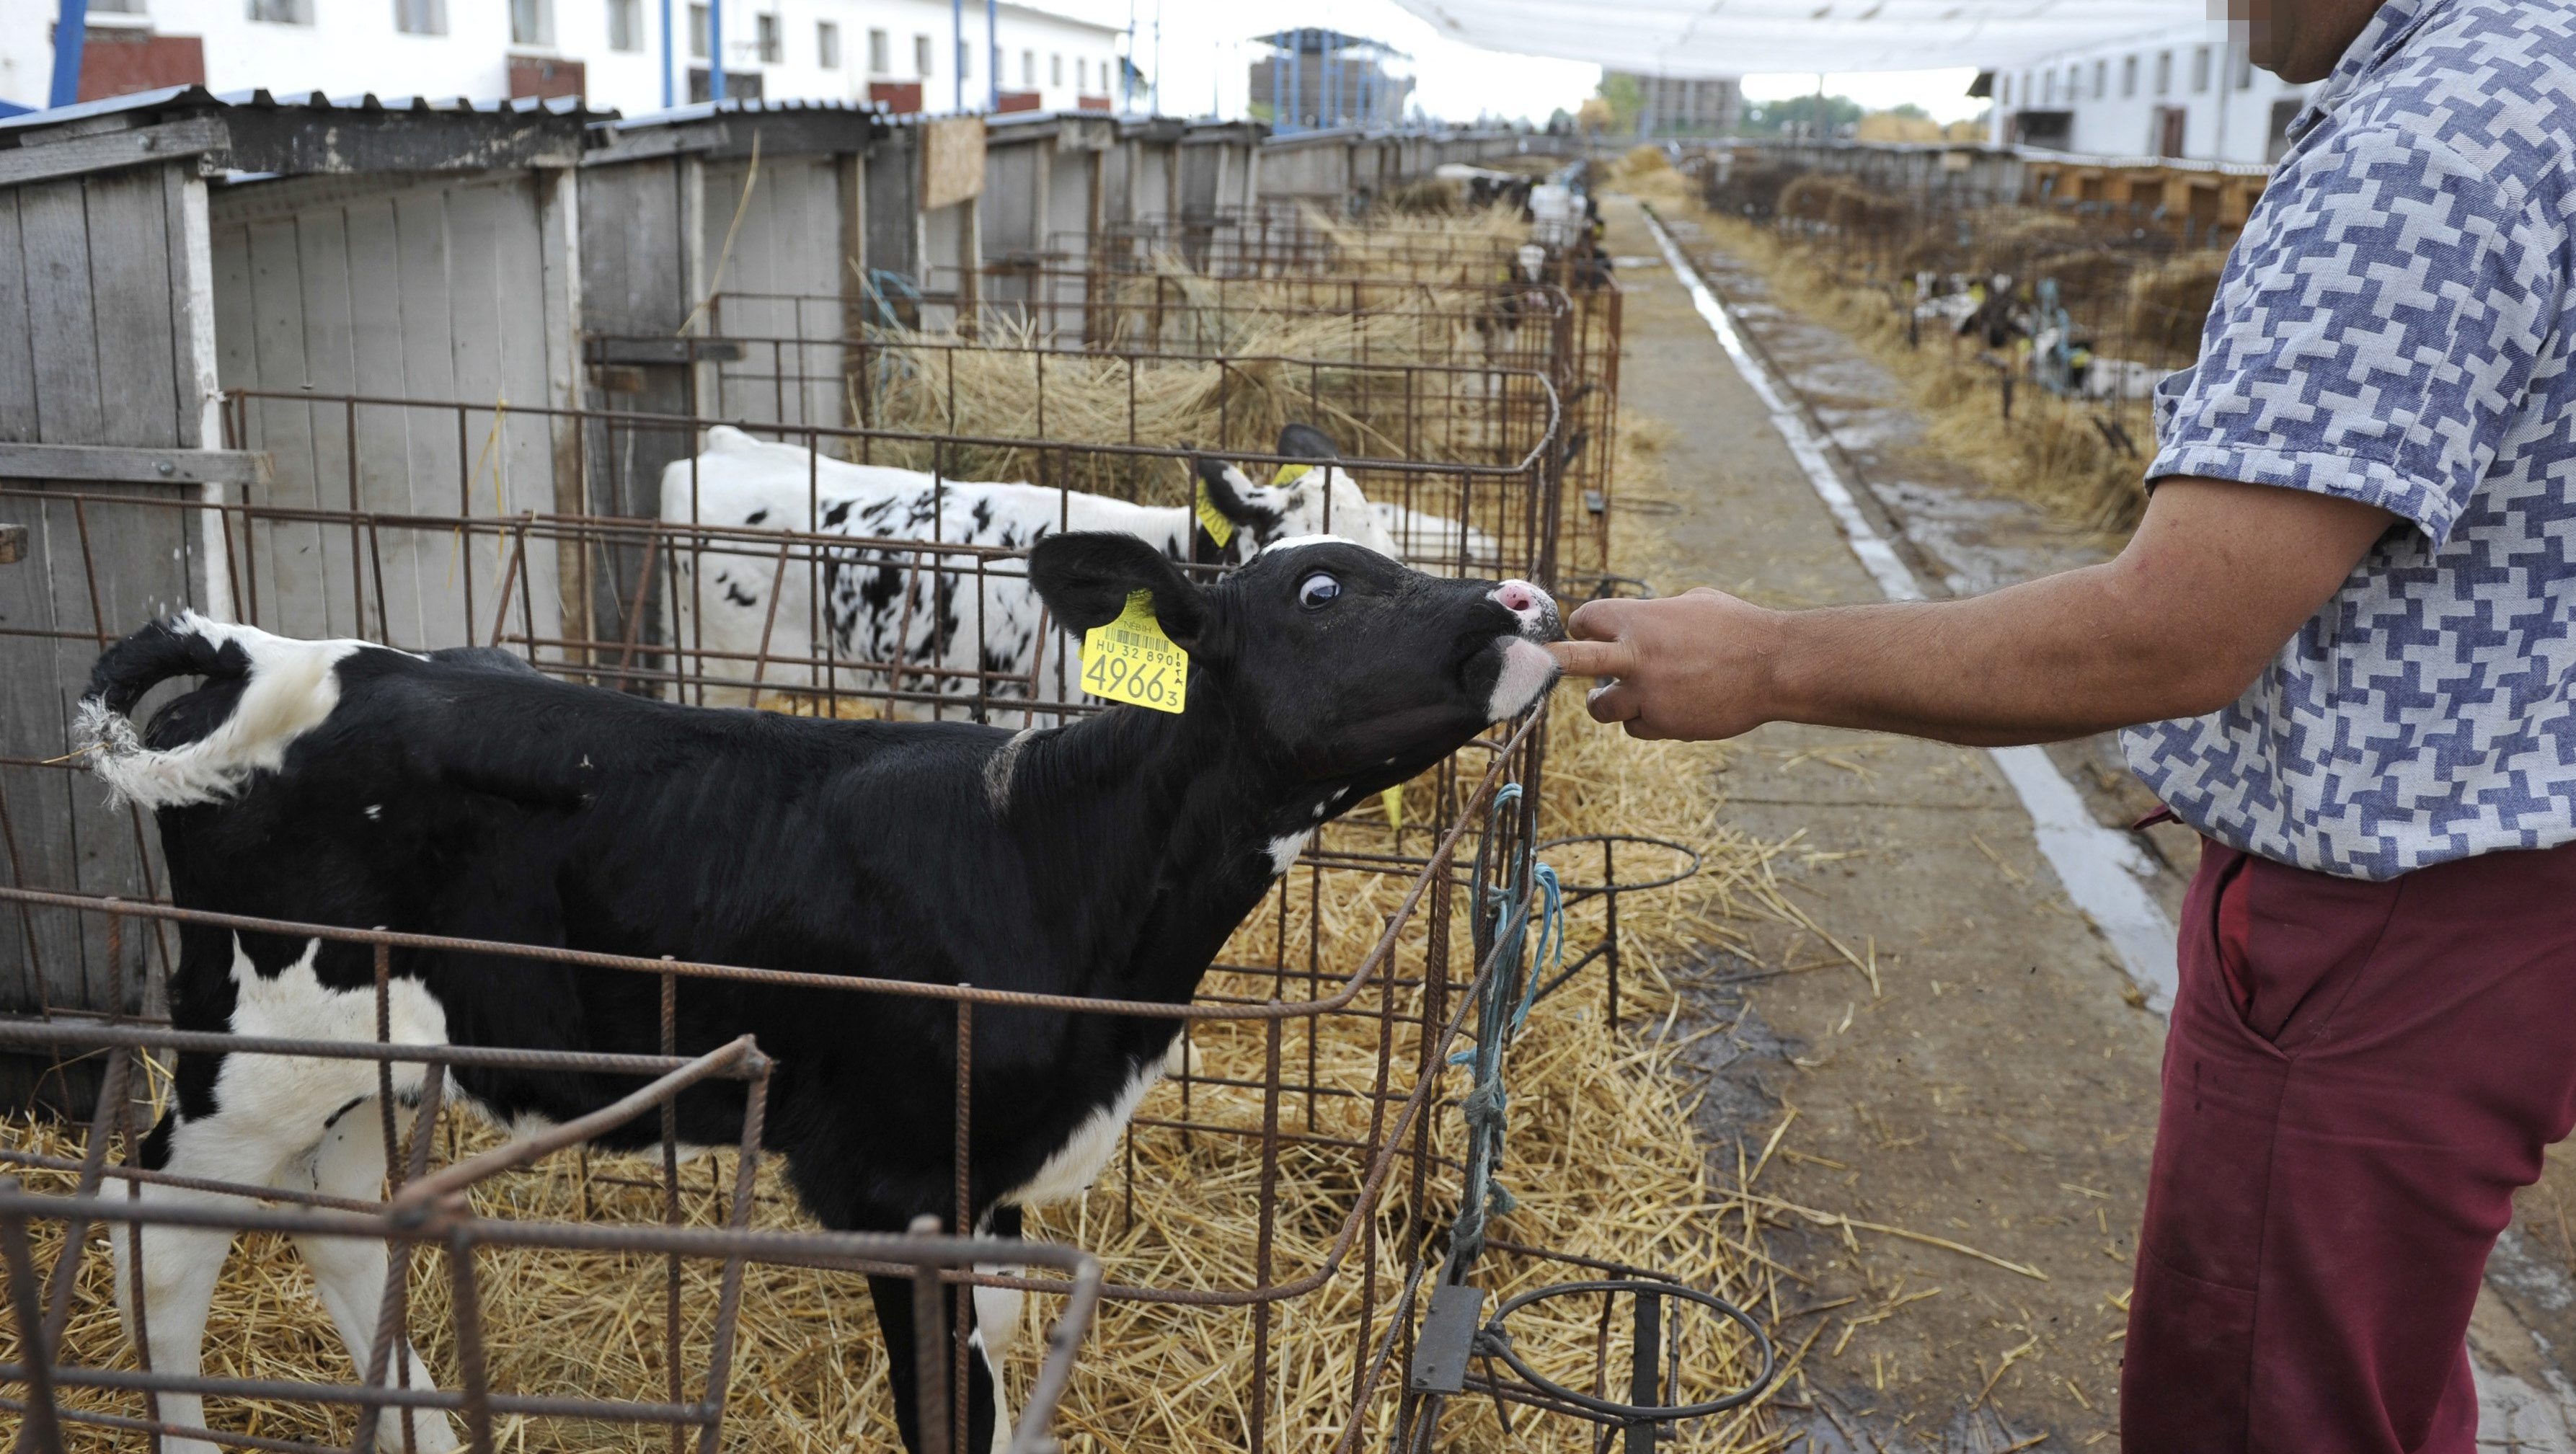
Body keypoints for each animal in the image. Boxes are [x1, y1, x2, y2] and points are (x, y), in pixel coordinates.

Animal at [75, 530, 1566, 1451]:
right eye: (1321, 593)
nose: (1527, 602)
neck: (1048, 857)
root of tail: (272, 656)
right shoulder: (896, 1177)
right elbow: (941, 1404)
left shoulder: (986, 1172)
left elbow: (1000, 1354)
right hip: (257, 1034)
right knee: (161, 1221)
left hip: (384, 1044)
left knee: (344, 1213)